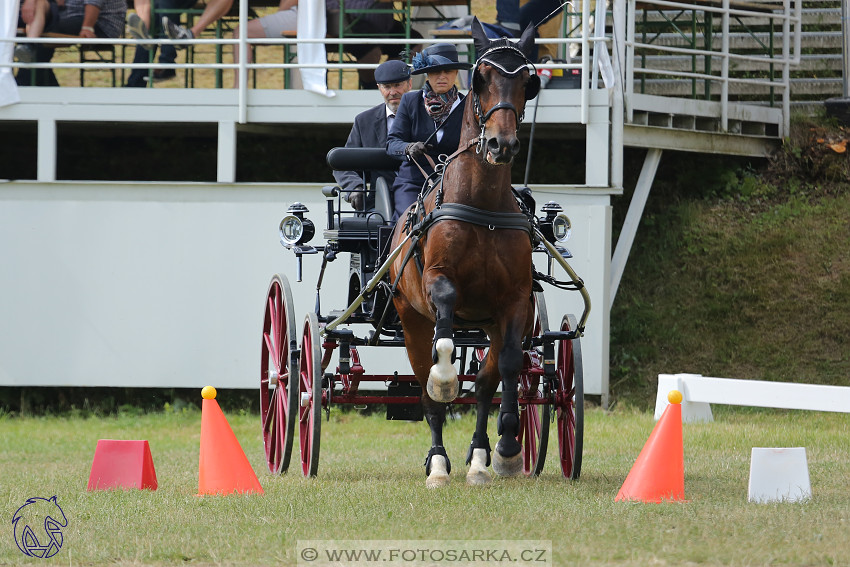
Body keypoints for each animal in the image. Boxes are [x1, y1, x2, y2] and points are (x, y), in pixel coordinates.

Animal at [388, 18, 540, 488]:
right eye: (482, 78)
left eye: (528, 83)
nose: (500, 144)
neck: (482, 205)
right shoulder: (437, 282)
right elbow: (445, 332)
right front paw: (445, 378)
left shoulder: (515, 301)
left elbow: (508, 366)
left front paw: (506, 449)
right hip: (410, 320)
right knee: (426, 390)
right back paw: (438, 463)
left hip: (488, 325)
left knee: (487, 384)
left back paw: (479, 457)